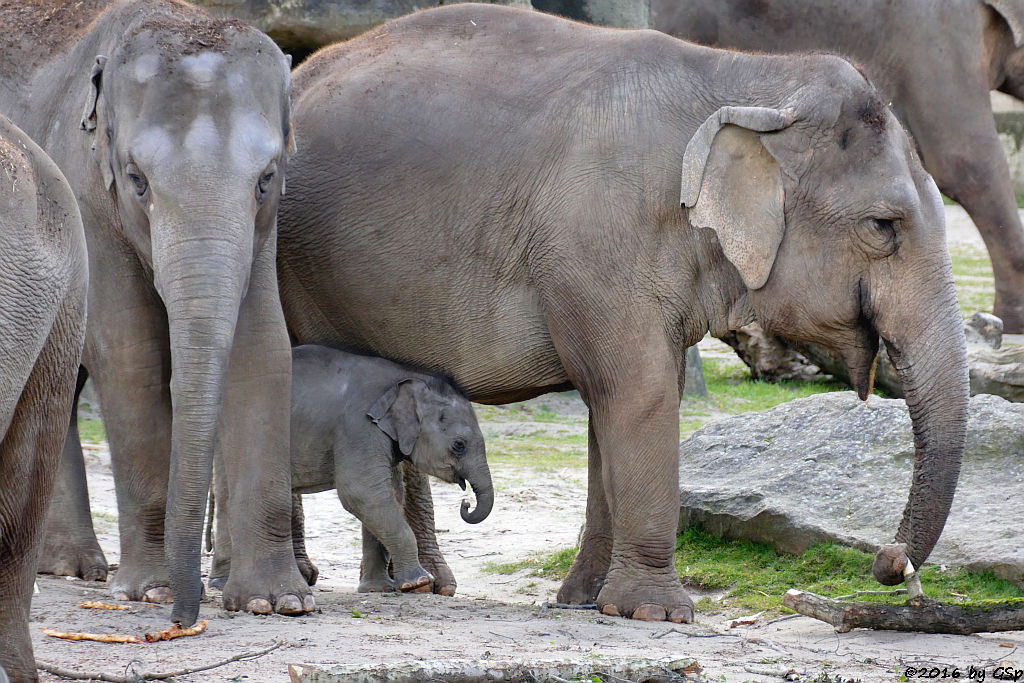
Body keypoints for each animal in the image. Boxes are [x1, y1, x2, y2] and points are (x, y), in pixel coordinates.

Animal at [1, 1, 311, 630]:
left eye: (266, 178)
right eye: (137, 180)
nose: (184, 619)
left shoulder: (265, 227)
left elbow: (263, 345)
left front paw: (276, 601)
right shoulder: (85, 192)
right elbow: (129, 351)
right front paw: (151, 590)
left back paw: (67, 564)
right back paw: (74, 568)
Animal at [208, 348, 491, 593]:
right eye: (459, 445)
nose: (466, 504)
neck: (406, 377)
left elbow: (387, 496)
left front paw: (378, 589)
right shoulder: (359, 428)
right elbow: (362, 493)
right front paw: (418, 582)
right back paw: (225, 585)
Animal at [278, 5, 966, 626]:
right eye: (884, 226)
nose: (890, 563)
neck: (750, 79)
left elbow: (613, 403)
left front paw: (588, 601)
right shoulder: (600, 237)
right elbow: (640, 391)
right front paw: (658, 613)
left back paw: (420, 586)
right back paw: (314, 582)